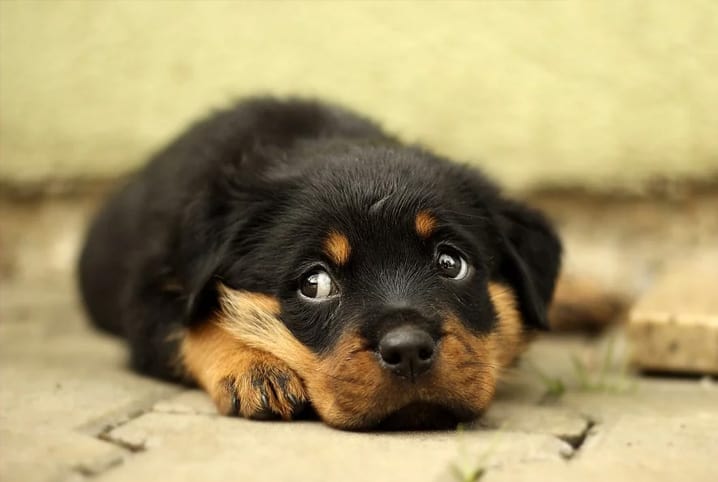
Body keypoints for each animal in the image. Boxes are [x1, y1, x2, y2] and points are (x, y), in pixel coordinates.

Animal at [79, 98, 564, 430]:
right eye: (315, 284)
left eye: (451, 263)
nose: (408, 350)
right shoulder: (152, 293)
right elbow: (194, 326)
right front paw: (253, 368)